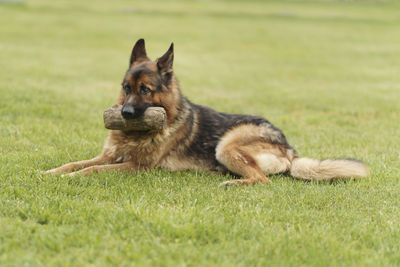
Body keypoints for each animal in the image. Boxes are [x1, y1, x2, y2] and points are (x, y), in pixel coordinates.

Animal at [44, 39, 368, 186]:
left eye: (145, 90)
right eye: (126, 87)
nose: (125, 113)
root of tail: (290, 150)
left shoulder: (137, 167)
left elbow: (92, 169)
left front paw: (71, 178)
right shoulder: (109, 156)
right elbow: (74, 163)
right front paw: (51, 172)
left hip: (228, 144)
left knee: (261, 180)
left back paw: (232, 183)